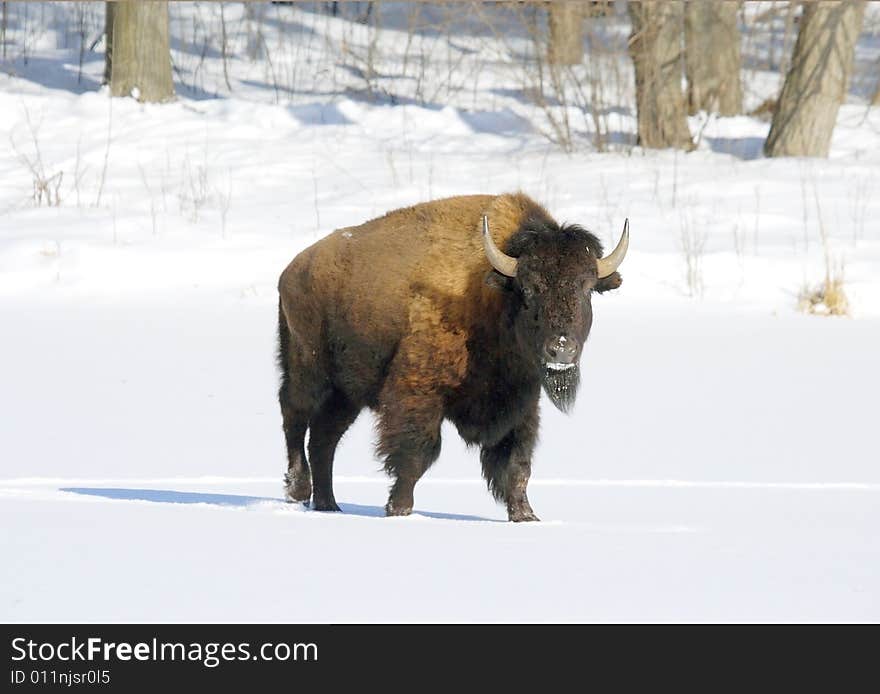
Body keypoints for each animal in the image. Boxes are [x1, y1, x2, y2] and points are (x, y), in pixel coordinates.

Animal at [276, 192, 624, 520]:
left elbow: (517, 465)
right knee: (295, 416)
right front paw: (398, 509)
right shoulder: (419, 392)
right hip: (308, 370)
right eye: (527, 289)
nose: (561, 348)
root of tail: (291, 270)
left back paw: (329, 505)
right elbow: (417, 454)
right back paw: (298, 490)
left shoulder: (520, 404)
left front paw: (526, 516)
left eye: (586, 289)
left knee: (324, 437)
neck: (490, 295)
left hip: (347, 394)